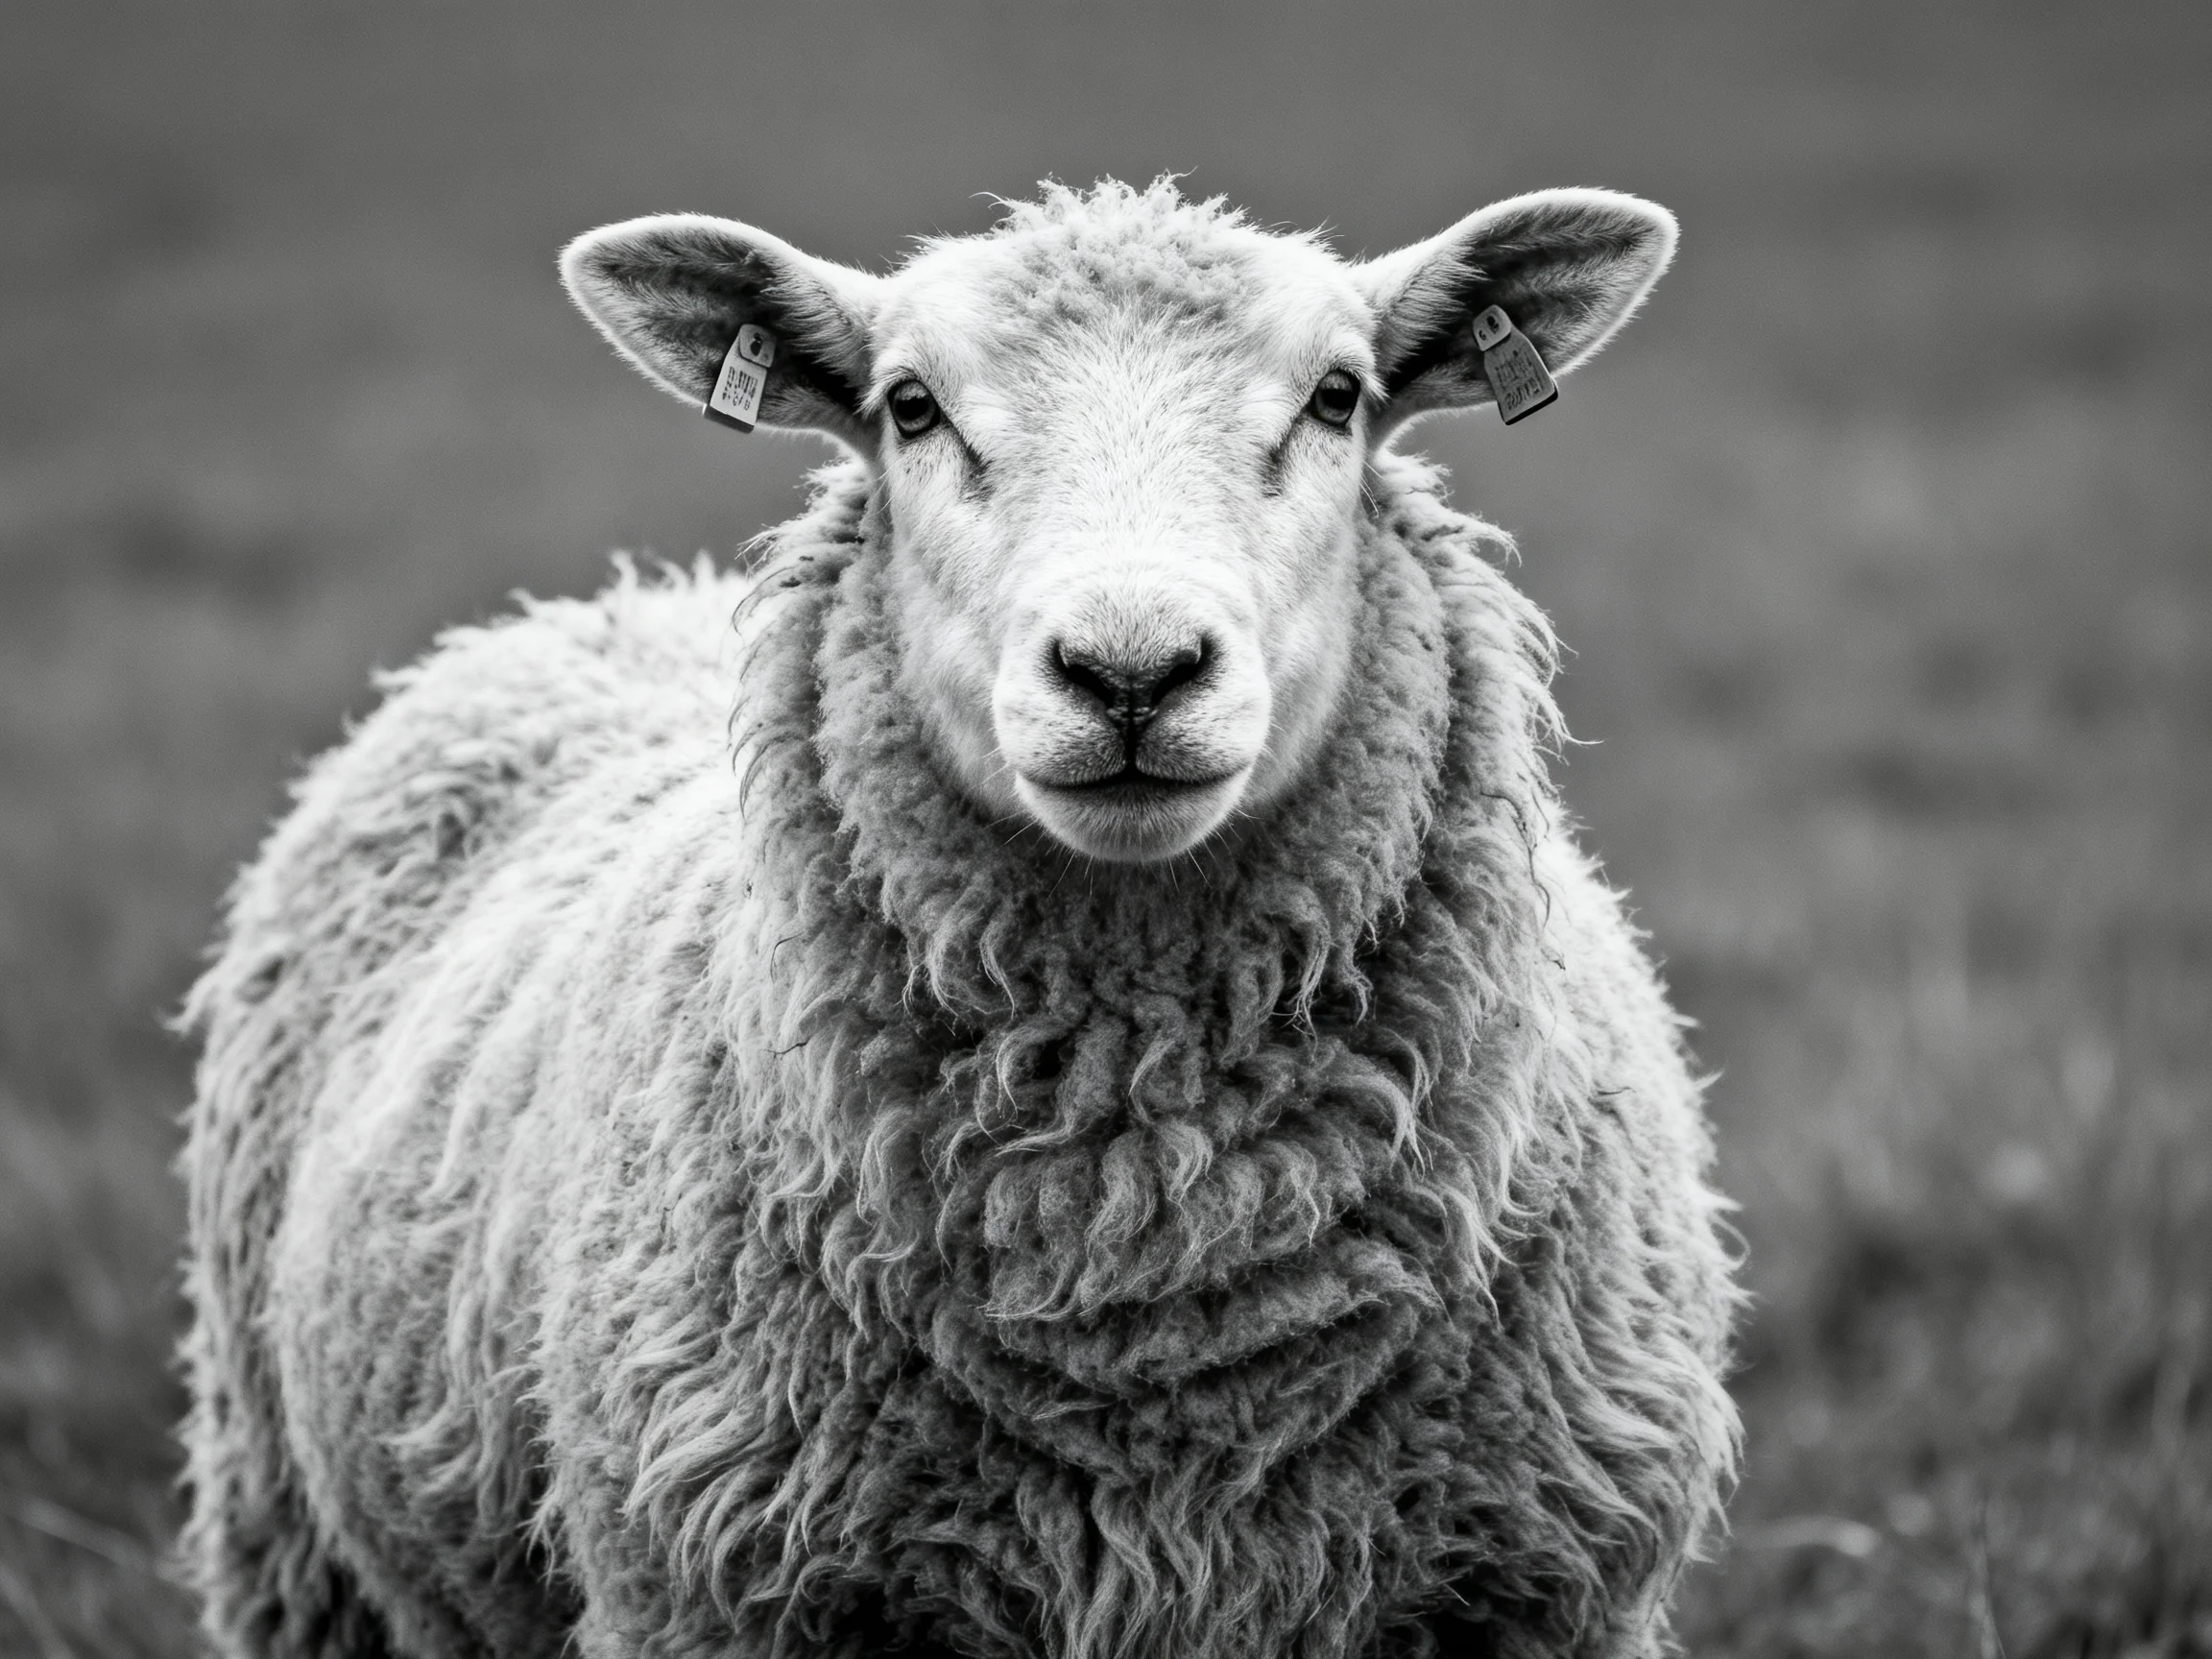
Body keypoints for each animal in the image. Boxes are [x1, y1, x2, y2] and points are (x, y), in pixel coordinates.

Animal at [178, 178, 1738, 1659]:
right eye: (911, 408)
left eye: (1339, 397)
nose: (1131, 670)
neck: (1140, 1246)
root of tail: (612, 605)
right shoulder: (709, 1596)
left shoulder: (1555, 1601)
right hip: (294, 1543)